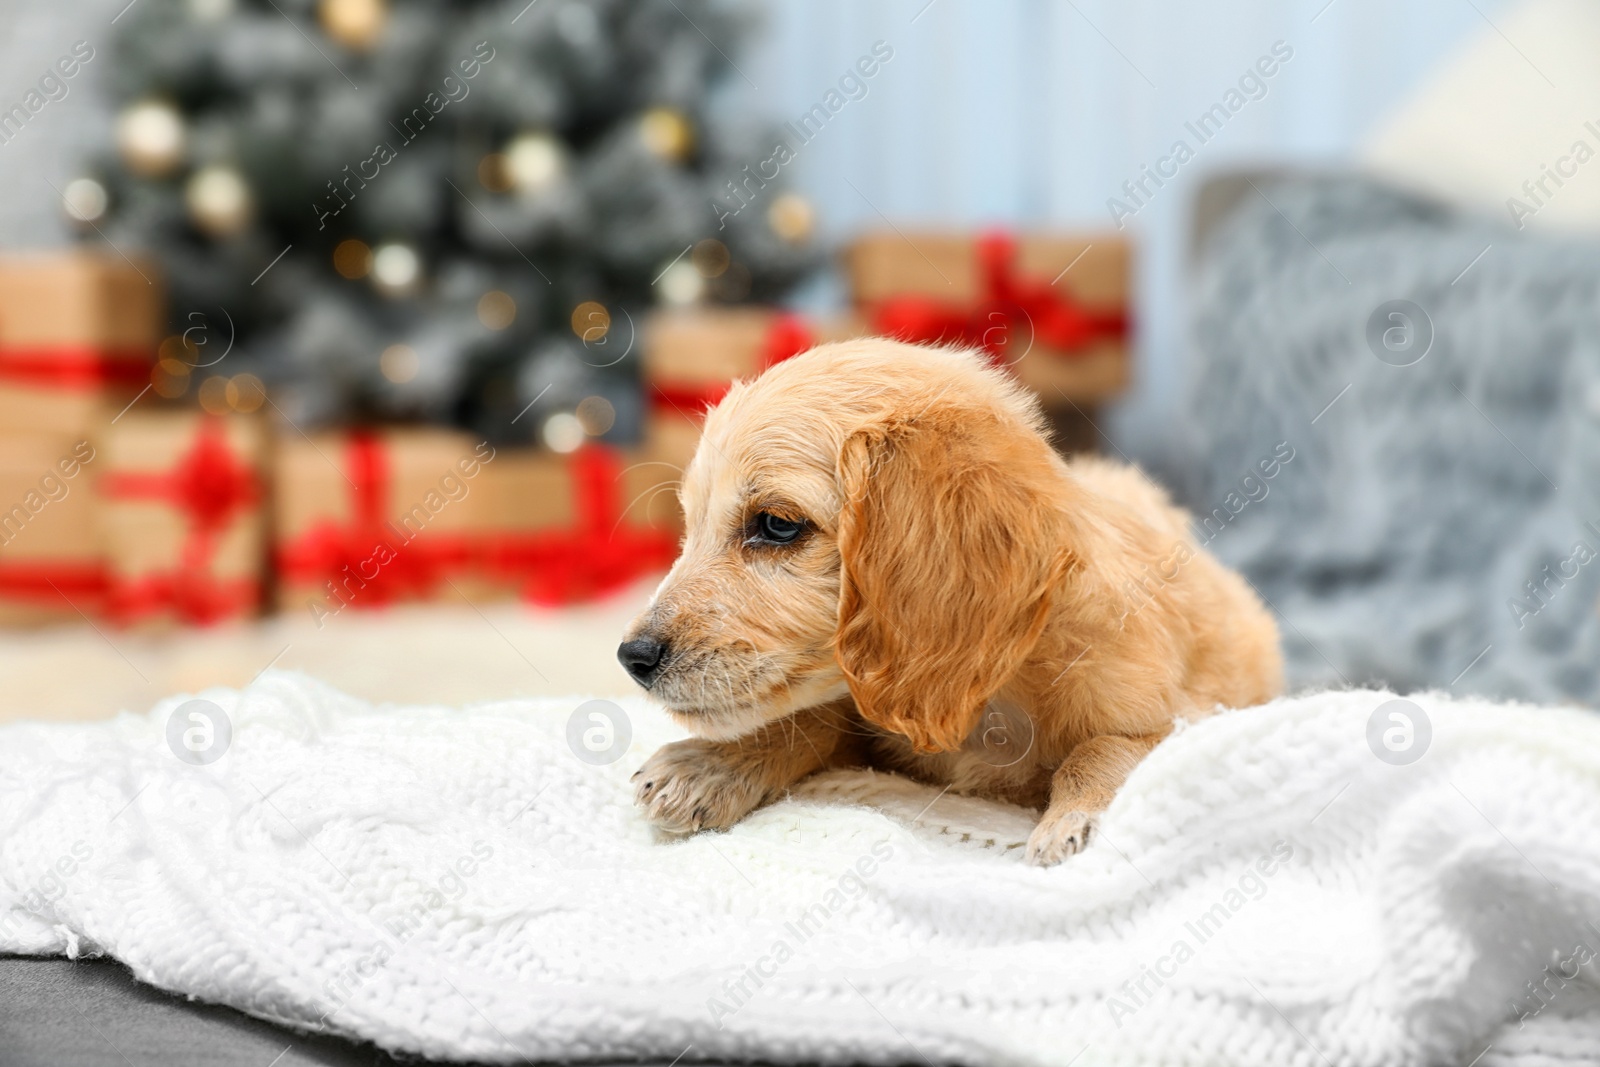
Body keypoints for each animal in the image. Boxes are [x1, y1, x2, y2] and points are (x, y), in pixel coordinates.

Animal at [617, 342, 1280, 870]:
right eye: (689, 526)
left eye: (777, 525)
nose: (632, 658)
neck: (996, 695)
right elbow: (816, 719)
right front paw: (713, 763)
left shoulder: (1188, 711)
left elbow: (1105, 748)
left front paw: (1076, 820)